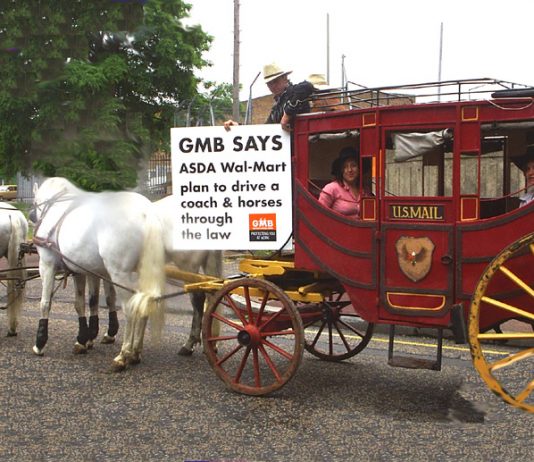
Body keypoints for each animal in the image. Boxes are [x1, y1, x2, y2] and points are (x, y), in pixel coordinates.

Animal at [30, 175, 166, 370]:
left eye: (35, 202)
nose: (31, 216)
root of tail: (146, 214)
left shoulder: (47, 265)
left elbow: (45, 303)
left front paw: (40, 342)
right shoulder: (81, 270)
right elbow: (82, 303)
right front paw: (83, 339)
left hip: (120, 274)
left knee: (130, 309)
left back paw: (124, 355)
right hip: (140, 273)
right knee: (144, 303)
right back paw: (135, 352)